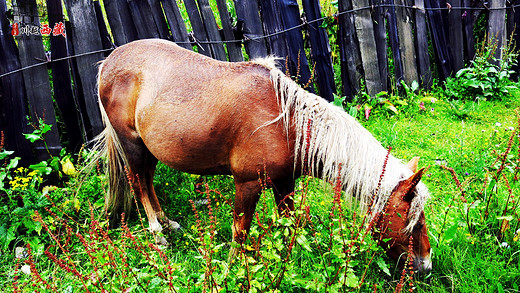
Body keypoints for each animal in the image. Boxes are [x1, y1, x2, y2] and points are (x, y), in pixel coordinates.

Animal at [95, 38, 432, 272]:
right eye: (414, 223)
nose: (426, 266)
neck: (287, 123)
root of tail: (108, 63)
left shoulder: (284, 184)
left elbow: (288, 225)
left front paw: (287, 261)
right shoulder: (247, 184)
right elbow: (240, 231)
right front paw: (233, 268)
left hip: (149, 149)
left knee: (148, 182)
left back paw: (168, 223)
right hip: (132, 146)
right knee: (138, 183)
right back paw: (157, 233)